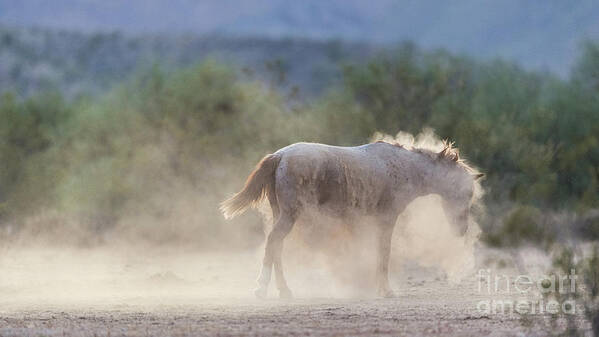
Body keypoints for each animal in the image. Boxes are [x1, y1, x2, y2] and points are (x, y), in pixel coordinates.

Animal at [220, 140, 482, 298]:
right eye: (467, 192)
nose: (461, 230)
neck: (403, 167)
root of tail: (280, 155)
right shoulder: (386, 220)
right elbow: (383, 255)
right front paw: (385, 291)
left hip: (281, 214)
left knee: (277, 247)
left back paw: (284, 291)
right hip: (289, 215)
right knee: (273, 243)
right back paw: (261, 289)